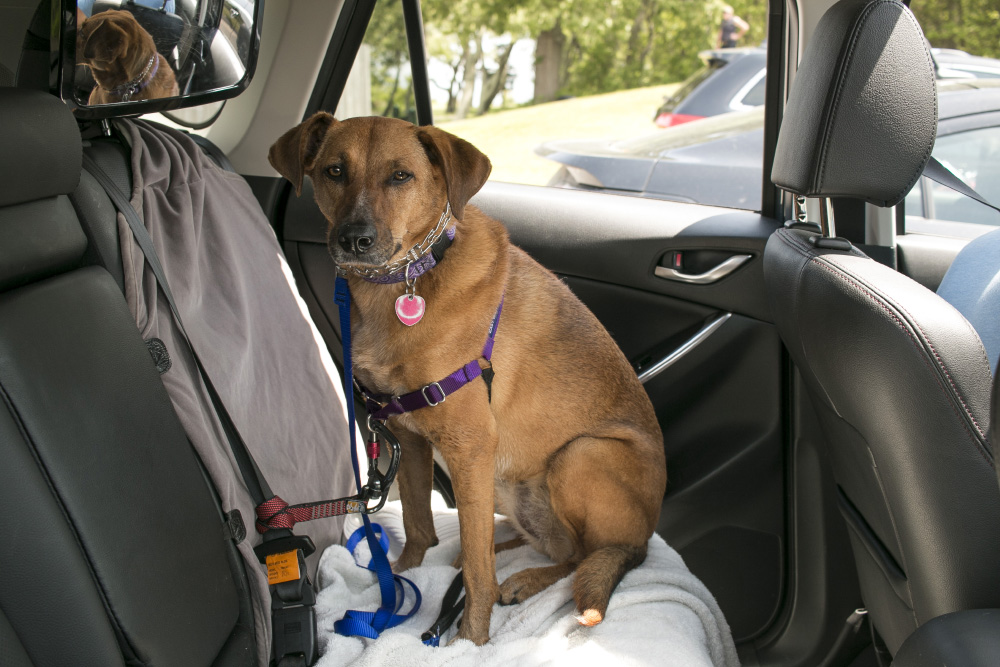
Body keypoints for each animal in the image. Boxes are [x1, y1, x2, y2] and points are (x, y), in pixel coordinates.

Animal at [270, 116, 668, 648]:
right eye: (335, 171)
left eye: (400, 176)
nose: (355, 240)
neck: (405, 282)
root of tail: (642, 542)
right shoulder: (409, 438)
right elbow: (419, 524)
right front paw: (400, 579)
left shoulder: (469, 445)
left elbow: (480, 576)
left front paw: (471, 638)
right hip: (505, 481)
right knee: (550, 544)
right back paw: (501, 552)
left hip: (577, 454)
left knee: (584, 555)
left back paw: (522, 578)